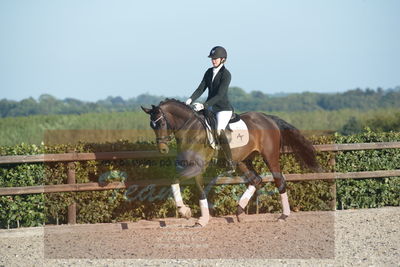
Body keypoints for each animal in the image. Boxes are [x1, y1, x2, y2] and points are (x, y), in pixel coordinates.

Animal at [141, 99, 318, 228]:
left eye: (161, 123)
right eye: (151, 125)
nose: (162, 149)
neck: (191, 129)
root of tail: (268, 118)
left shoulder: (196, 167)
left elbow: (175, 179)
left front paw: (184, 211)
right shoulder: (194, 168)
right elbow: (198, 189)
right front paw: (202, 219)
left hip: (270, 156)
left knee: (279, 180)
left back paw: (283, 215)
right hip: (243, 161)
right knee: (256, 180)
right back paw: (239, 212)